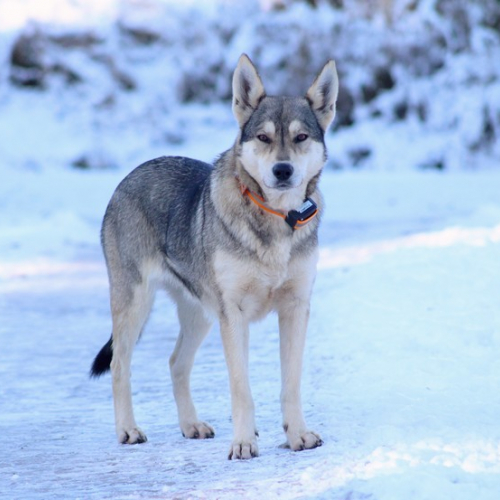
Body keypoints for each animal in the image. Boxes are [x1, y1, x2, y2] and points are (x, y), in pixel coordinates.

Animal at [90, 52, 340, 458]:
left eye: (301, 137)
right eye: (263, 137)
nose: (282, 170)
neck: (275, 219)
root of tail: (130, 176)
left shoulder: (295, 308)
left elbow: (291, 384)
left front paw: (297, 436)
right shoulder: (233, 315)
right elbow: (241, 389)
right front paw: (243, 443)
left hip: (200, 314)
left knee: (175, 363)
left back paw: (190, 425)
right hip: (136, 305)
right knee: (119, 366)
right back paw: (128, 430)